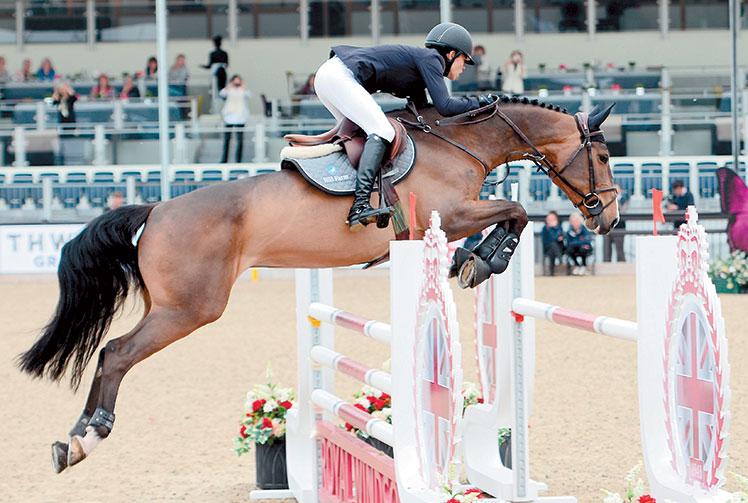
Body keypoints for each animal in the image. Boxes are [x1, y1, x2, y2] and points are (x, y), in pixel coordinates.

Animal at [18, 98, 619, 473]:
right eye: (604, 155)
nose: (609, 219)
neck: (460, 143)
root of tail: (157, 209)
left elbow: (514, 213)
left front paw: (474, 261)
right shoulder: (448, 216)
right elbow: (516, 211)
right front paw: (481, 262)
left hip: (171, 306)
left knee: (107, 353)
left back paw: (70, 440)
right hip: (188, 309)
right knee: (117, 352)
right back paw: (87, 437)